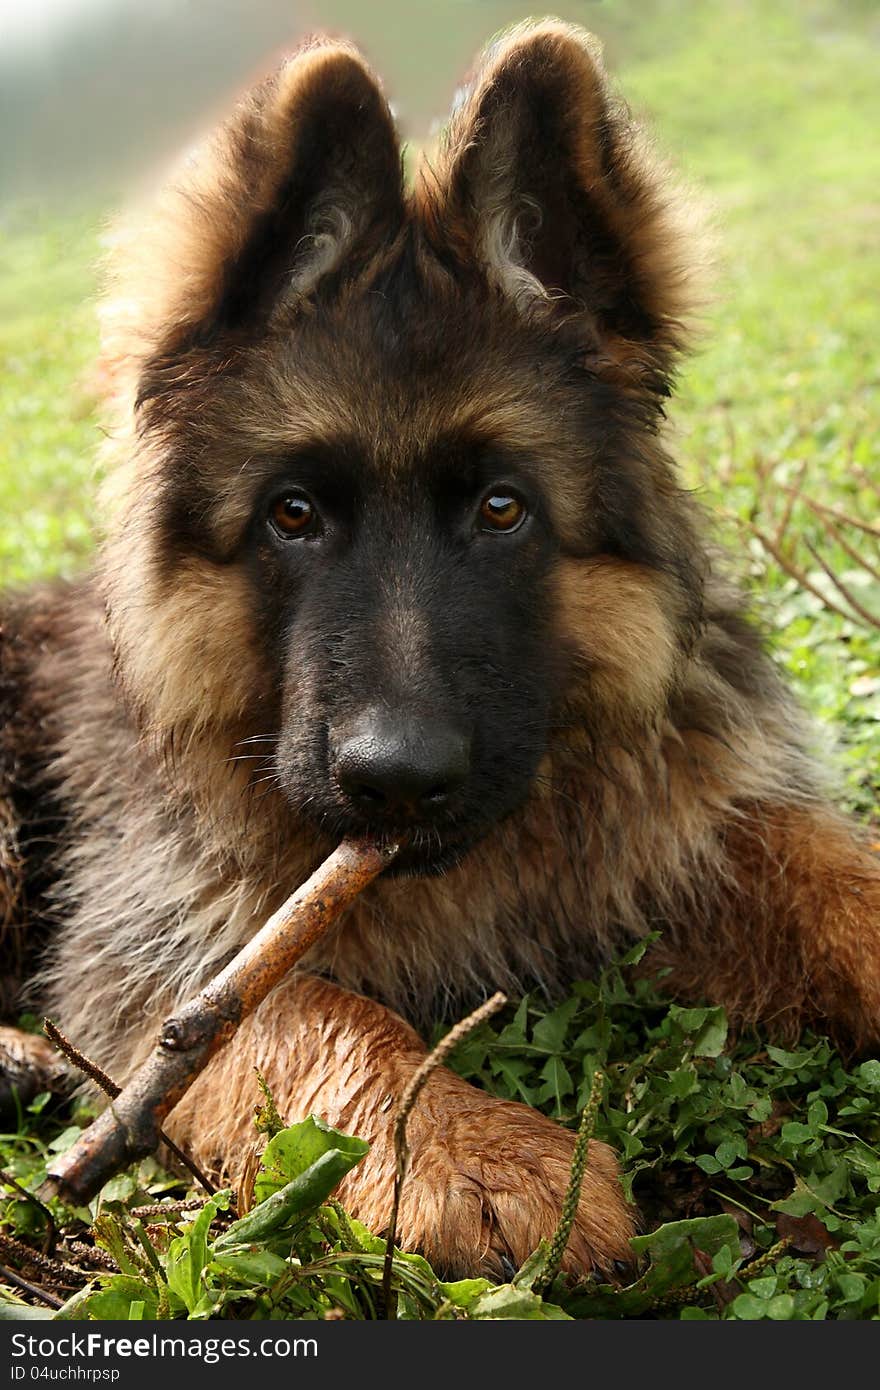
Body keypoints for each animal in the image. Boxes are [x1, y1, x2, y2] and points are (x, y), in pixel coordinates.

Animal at [1, 24, 878, 1278]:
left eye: (503, 509)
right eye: (293, 514)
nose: (396, 780)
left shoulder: (671, 844)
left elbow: (827, 874)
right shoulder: (146, 957)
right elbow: (286, 1009)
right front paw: (467, 1144)